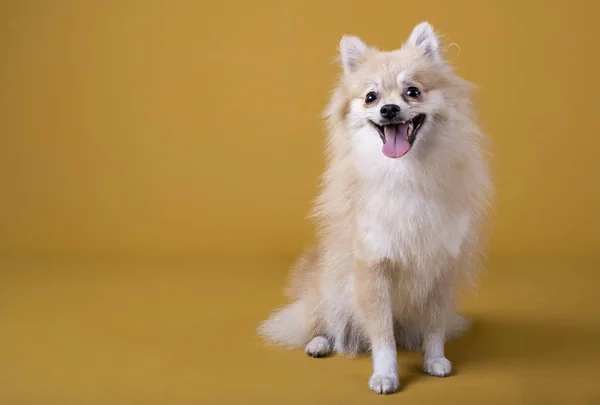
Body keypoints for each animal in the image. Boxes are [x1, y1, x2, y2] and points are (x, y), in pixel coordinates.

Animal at [258, 20, 492, 392]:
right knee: (324, 323)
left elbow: (435, 325)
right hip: (331, 288)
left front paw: (434, 359)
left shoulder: (442, 265)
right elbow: (382, 335)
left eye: (413, 91)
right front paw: (385, 374)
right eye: (371, 97)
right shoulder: (373, 266)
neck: (404, 173)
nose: (389, 110)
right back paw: (320, 343)